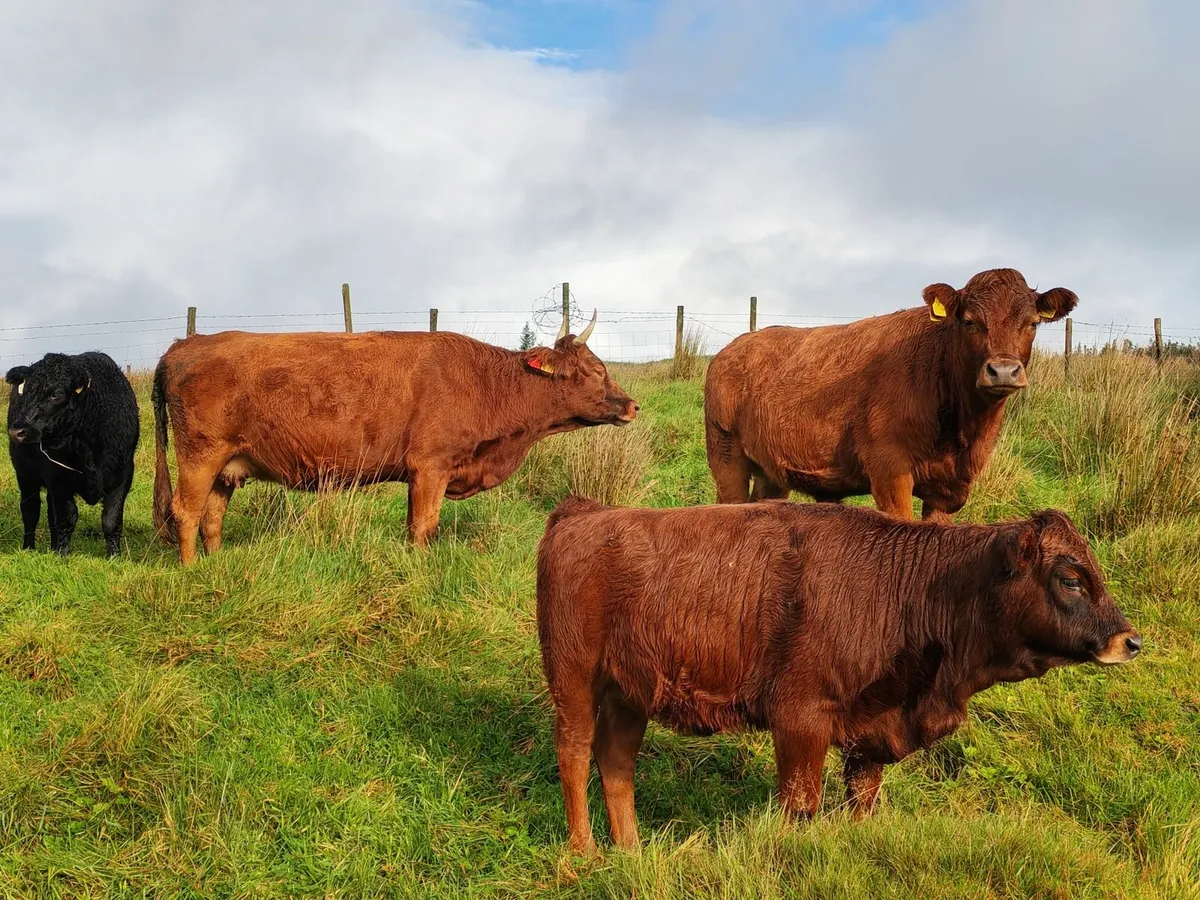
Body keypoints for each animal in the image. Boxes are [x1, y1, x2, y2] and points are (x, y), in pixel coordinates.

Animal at [5, 352, 139, 557]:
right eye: (25, 392)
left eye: (56, 394)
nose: (17, 431)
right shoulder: (58, 477)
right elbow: (67, 518)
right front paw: (63, 555)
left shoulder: (123, 474)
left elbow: (111, 519)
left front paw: (115, 556)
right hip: (25, 475)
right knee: (30, 509)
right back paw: (29, 548)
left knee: (49, 513)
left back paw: (53, 547)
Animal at [151, 313, 638, 564]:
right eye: (597, 371)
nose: (632, 405)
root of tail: (184, 344)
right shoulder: (432, 466)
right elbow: (425, 526)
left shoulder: (418, 474)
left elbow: (411, 525)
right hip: (200, 455)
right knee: (186, 511)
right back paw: (193, 569)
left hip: (227, 465)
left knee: (211, 517)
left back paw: (216, 565)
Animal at [537, 498, 1140, 853]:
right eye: (1070, 578)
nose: (1129, 640)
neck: (921, 587)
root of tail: (581, 513)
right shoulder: (800, 724)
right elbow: (801, 806)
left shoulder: (868, 738)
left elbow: (861, 804)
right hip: (574, 680)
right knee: (574, 754)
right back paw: (584, 854)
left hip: (628, 694)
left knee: (616, 761)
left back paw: (632, 852)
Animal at [704, 268, 1077, 521]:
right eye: (969, 321)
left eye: (1032, 323)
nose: (1003, 370)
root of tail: (733, 347)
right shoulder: (890, 474)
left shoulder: (948, 490)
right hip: (725, 456)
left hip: (771, 471)